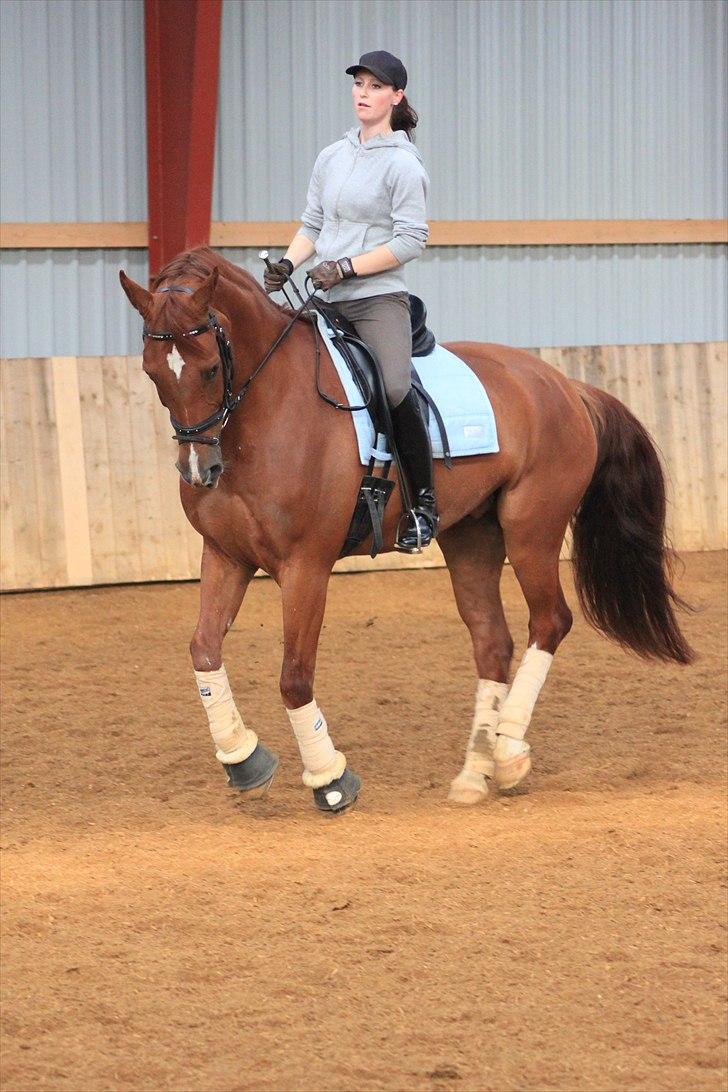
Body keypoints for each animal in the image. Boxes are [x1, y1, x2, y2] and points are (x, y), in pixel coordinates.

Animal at [121, 247, 694, 812]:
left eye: (209, 369)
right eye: (153, 372)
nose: (199, 471)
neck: (265, 412)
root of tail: (565, 385)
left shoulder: (306, 565)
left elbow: (294, 676)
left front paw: (330, 779)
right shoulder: (226, 555)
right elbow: (203, 649)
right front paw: (244, 760)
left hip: (532, 530)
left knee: (550, 622)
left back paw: (509, 751)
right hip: (471, 538)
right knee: (493, 641)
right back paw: (475, 773)